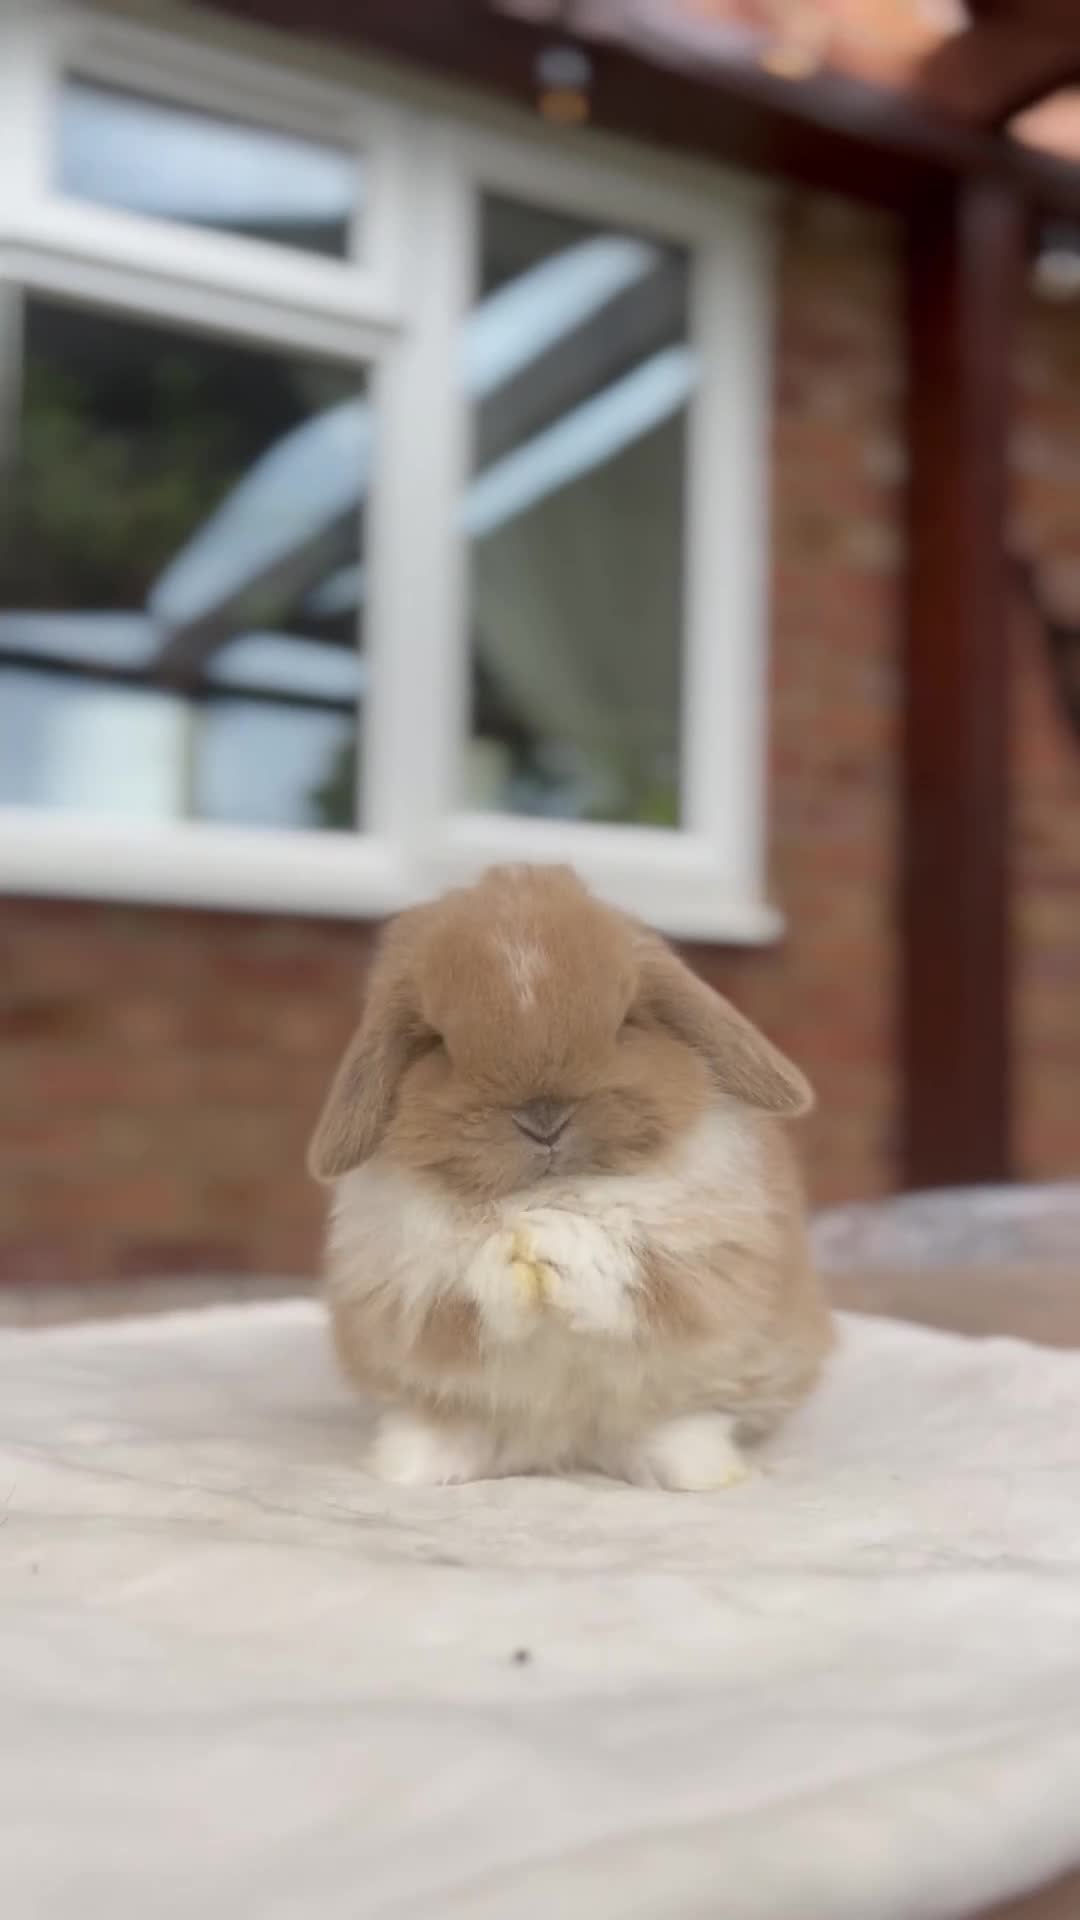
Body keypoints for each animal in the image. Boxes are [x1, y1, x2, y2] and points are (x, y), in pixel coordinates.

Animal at [308, 864, 832, 1492]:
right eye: (436, 1042)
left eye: (627, 1021)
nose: (544, 1119)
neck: (543, 1189)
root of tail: (563, 1448)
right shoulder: (410, 1294)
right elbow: (469, 1298)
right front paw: (516, 1250)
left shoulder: (700, 1267)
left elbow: (625, 1275)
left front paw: (549, 1242)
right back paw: (411, 1467)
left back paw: (702, 1472)